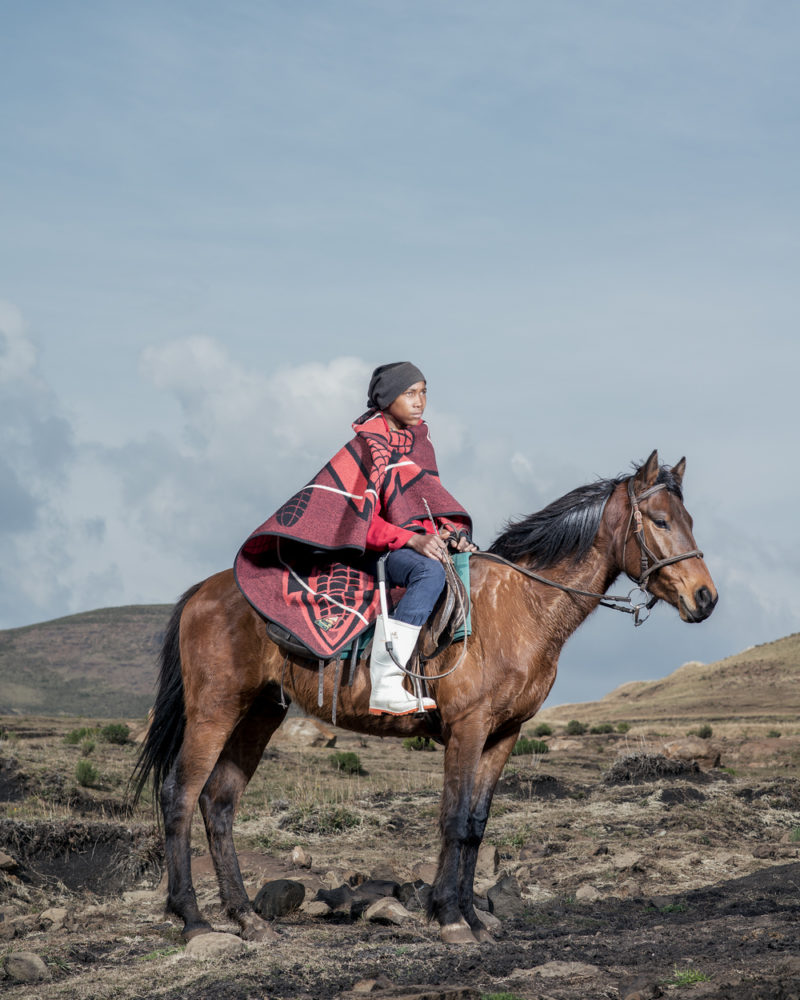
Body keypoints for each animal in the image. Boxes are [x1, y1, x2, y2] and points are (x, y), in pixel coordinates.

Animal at [133, 454, 720, 944]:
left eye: (691, 520)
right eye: (661, 521)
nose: (705, 598)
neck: (523, 605)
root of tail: (203, 592)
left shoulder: (503, 735)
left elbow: (476, 826)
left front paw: (473, 917)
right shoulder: (468, 728)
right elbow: (454, 819)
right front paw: (451, 918)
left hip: (259, 713)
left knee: (219, 802)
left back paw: (248, 918)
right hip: (214, 711)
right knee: (181, 795)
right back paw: (193, 919)